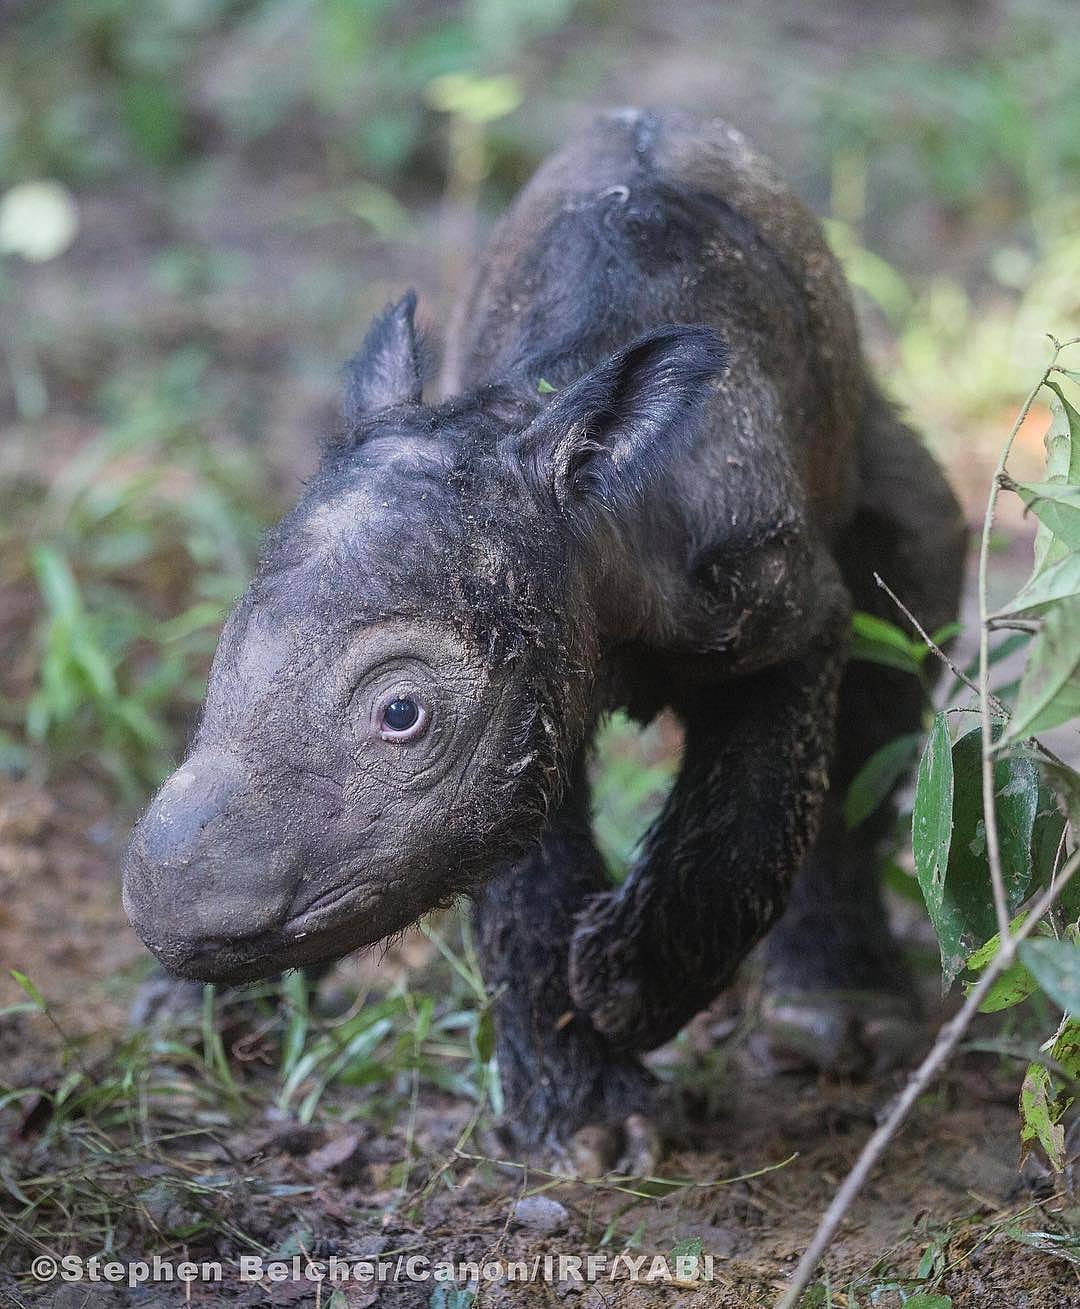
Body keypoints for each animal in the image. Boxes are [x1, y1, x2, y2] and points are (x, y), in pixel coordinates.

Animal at [122, 112, 963, 1172]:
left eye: (403, 713)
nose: (173, 910)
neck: (599, 511)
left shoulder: (778, 606)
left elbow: (759, 810)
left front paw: (623, 989)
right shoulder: (528, 675)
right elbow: (519, 871)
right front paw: (591, 1126)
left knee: (903, 607)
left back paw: (837, 1020)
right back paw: (182, 1024)